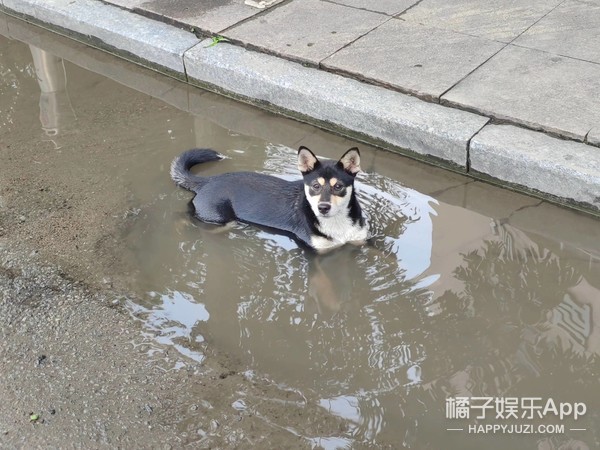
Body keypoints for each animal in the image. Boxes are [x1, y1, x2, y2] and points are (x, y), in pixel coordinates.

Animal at [168, 148, 366, 253]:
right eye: (315, 186)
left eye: (338, 186)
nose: (323, 208)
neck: (337, 223)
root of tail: (208, 180)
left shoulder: (360, 242)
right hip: (219, 219)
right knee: (181, 215)